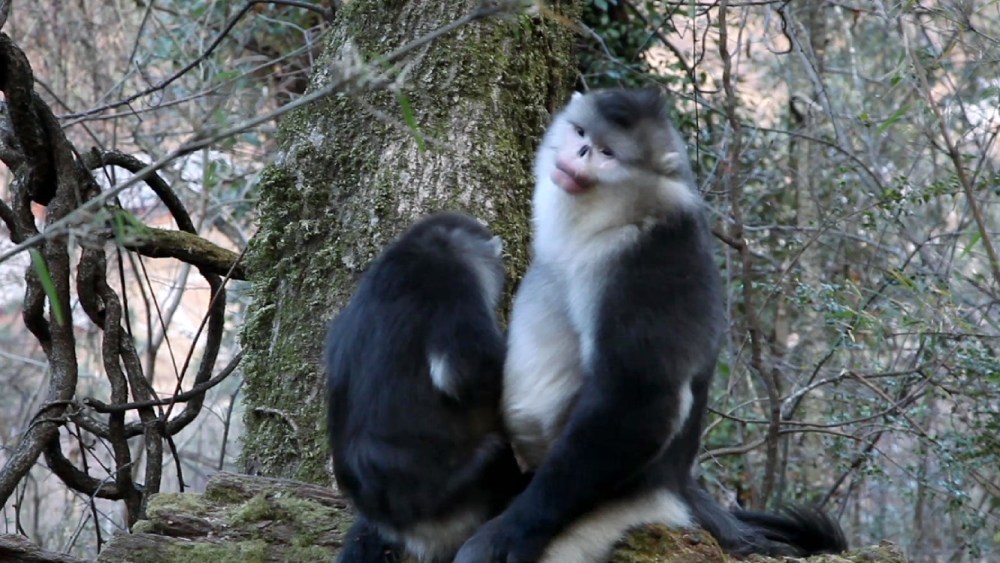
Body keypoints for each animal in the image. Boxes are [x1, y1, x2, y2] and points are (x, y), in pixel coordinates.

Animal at [454, 89, 847, 562]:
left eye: (607, 153)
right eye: (581, 133)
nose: (580, 153)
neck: (619, 215)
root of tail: (676, 486)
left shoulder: (648, 266)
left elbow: (639, 398)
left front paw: (510, 533)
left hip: (615, 514)